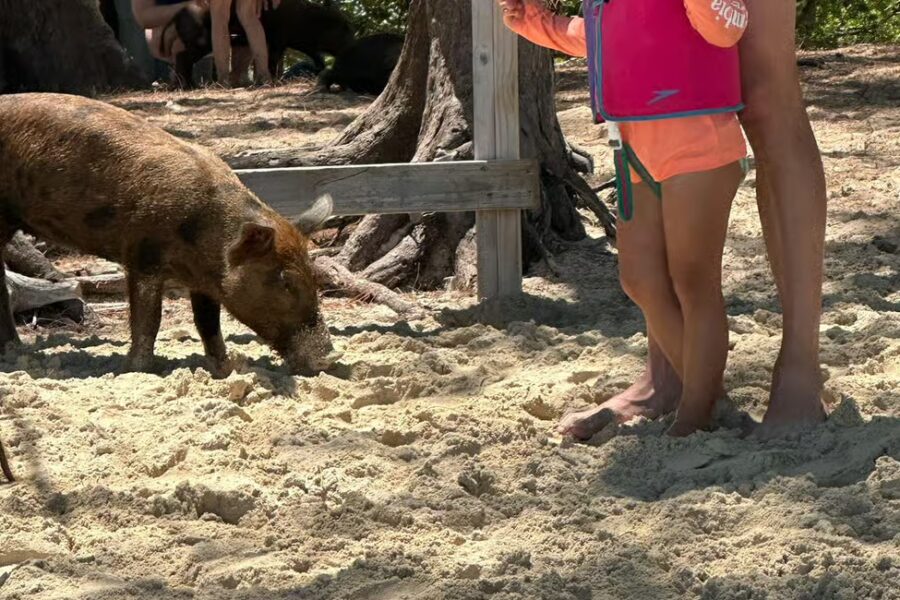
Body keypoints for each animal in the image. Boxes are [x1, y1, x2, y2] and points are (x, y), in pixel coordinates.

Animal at [0, 93, 339, 375]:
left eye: (313, 276)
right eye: (285, 281)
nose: (331, 357)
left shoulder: (203, 280)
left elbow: (208, 323)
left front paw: (225, 368)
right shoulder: (141, 253)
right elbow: (149, 318)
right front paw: (138, 370)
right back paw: (15, 352)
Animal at [172, 0, 355, 88]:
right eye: (345, 29)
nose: (354, 44)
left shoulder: (300, 43)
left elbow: (317, 57)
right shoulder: (278, 41)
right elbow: (272, 61)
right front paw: (274, 80)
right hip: (202, 42)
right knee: (182, 57)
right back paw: (185, 86)